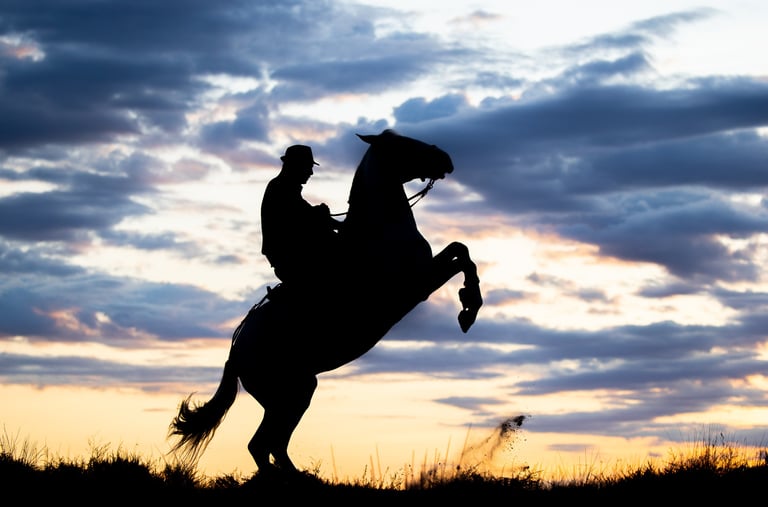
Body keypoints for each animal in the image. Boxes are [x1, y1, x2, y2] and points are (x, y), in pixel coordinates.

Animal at [168, 129, 483, 476]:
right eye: (403, 143)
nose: (445, 159)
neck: (379, 228)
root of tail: (235, 355)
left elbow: (460, 250)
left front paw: (468, 305)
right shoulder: (416, 283)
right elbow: (462, 257)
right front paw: (468, 308)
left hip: (293, 394)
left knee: (271, 445)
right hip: (290, 393)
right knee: (262, 445)